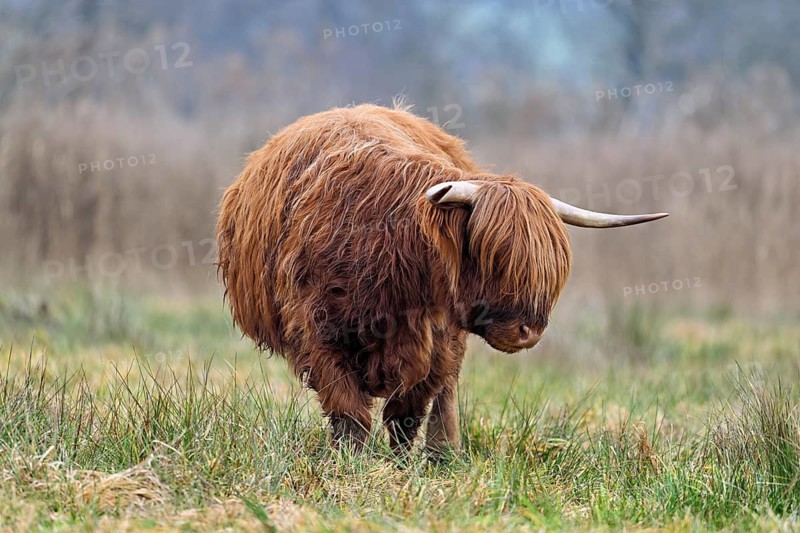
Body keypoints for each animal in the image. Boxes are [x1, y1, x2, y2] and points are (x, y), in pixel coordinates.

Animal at [216, 103, 667, 455]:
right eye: (492, 257)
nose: (529, 331)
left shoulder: (437, 340)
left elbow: (407, 413)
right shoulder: (316, 333)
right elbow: (349, 414)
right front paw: (350, 466)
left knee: (444, 397)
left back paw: (443, 453)